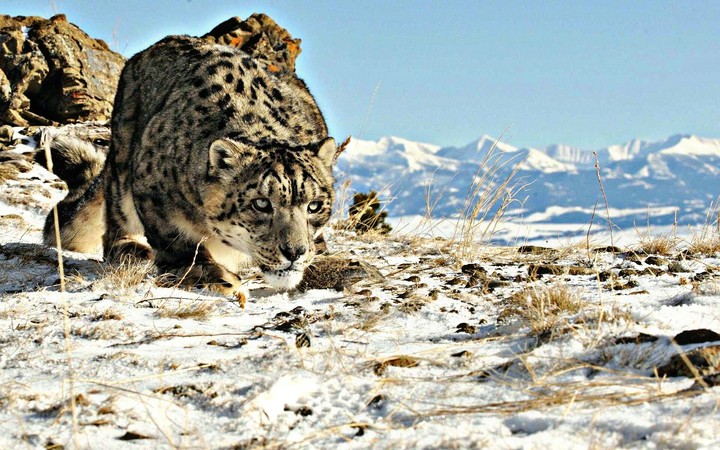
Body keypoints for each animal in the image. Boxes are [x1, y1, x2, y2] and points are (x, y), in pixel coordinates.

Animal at [40, 35, 336, 295]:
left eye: (314, 206)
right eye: (261, 203)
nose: (294, 252)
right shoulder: (151, 193)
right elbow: (178, 242)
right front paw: (215, 276)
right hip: (122, 161)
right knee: (114, 222)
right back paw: (132, 248)